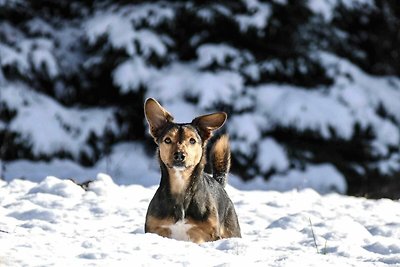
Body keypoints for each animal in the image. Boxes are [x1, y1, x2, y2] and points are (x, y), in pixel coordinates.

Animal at [144, 99, 241, 245]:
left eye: (192, 140)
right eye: (167, 140)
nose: (179, 155)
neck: (181, 186)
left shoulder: (210, 235)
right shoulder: (154, 229)